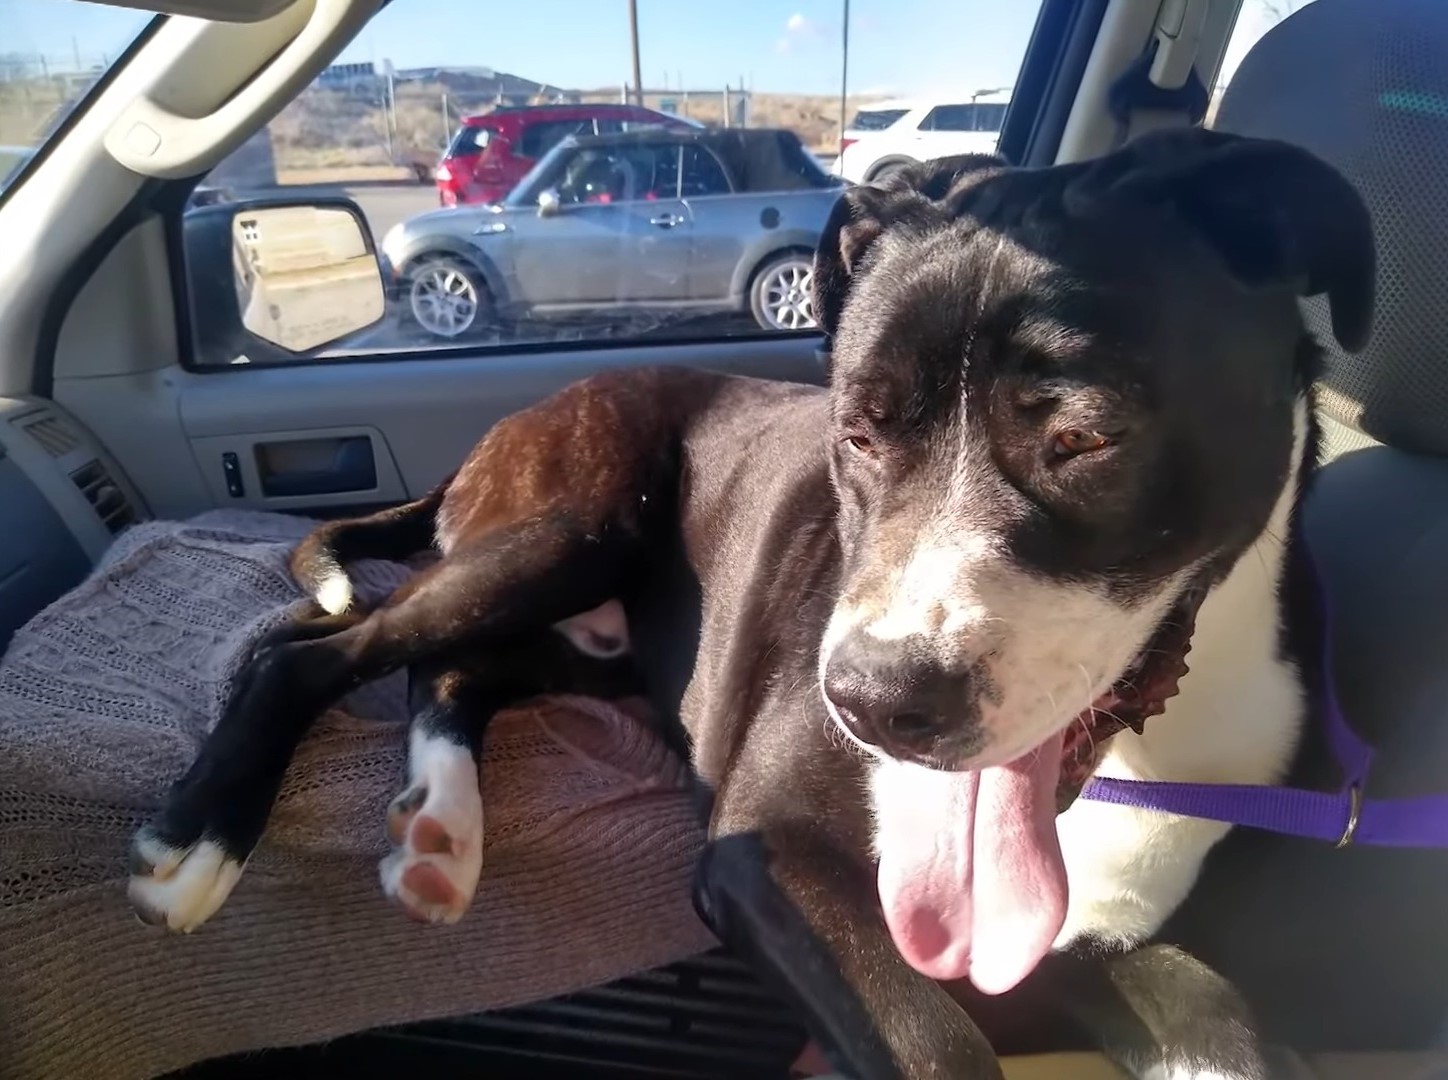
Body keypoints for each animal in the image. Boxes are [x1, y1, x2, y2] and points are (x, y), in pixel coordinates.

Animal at [127, 128, 1366, 1077]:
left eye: (1084, 437)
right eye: (855, 432)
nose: (874, 702)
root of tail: (531, 407)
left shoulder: (1079, 945)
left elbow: (1217, 1015)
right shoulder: (764, 855)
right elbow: (935, 1044)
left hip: (590, 643)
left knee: (450, 670)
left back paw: (442, 826)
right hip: (565, 529)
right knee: (315, 649)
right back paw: (202, 846)